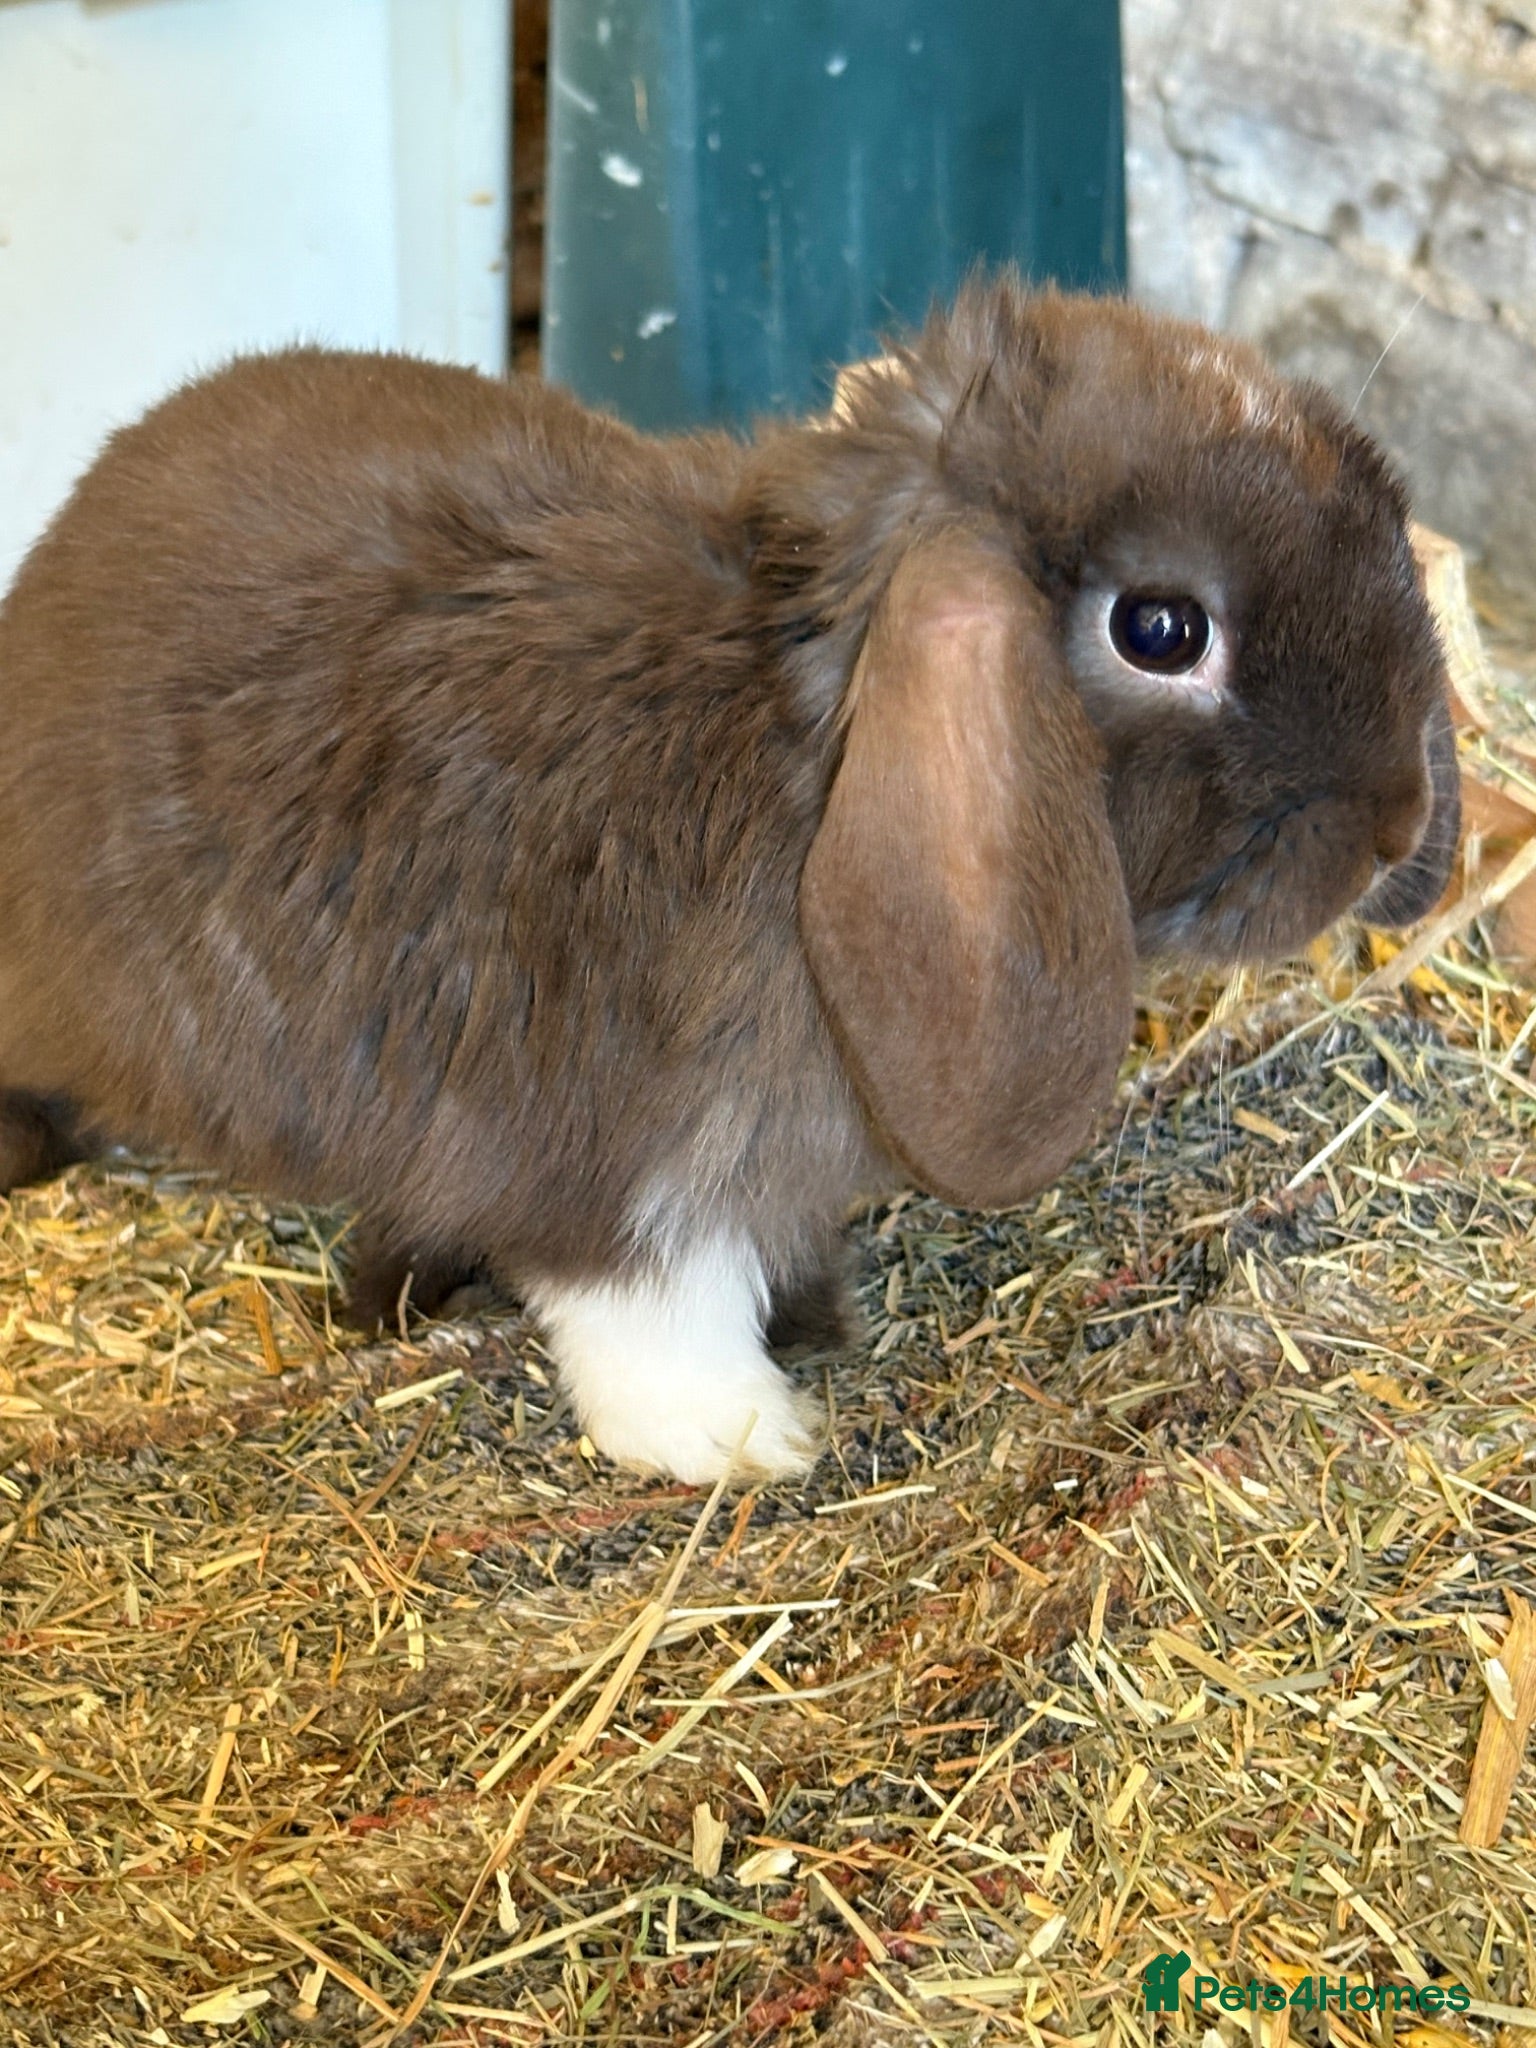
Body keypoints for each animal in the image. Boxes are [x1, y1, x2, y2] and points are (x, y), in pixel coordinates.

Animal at [0, 275, 1459, 1484]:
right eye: (1161, 629)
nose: (1397, 827)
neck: (800, 743)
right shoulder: (613, 1150)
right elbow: (646, 1303)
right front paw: (743, 1435)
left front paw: (810, 1320)